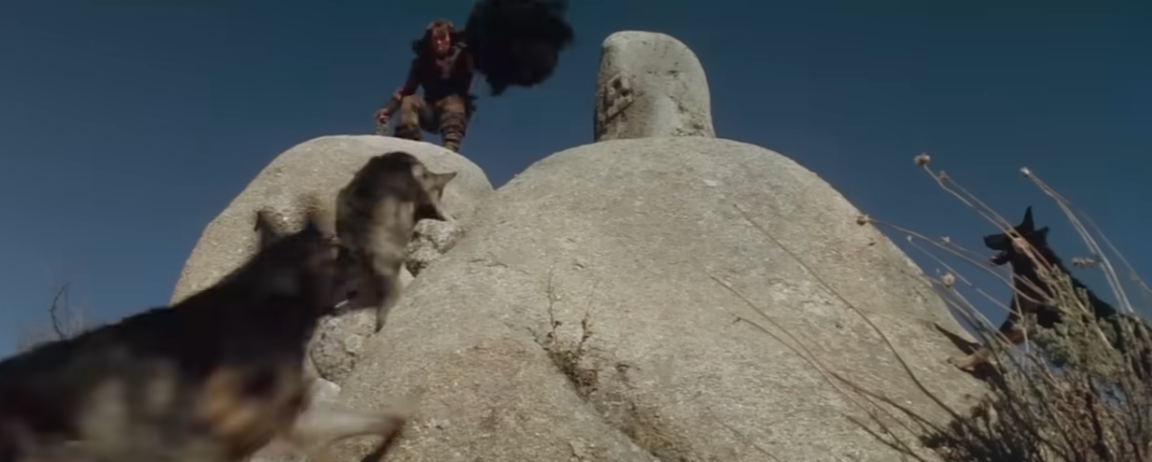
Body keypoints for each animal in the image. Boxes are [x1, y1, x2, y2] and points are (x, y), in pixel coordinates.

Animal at [948, 206, 1122, 371]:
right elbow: (995, 344)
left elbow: (991, 343)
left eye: (1007, 234)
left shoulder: (1019, 323)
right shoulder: (1024, 327)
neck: (1034, 267)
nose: (984, 237)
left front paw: (965, 361)